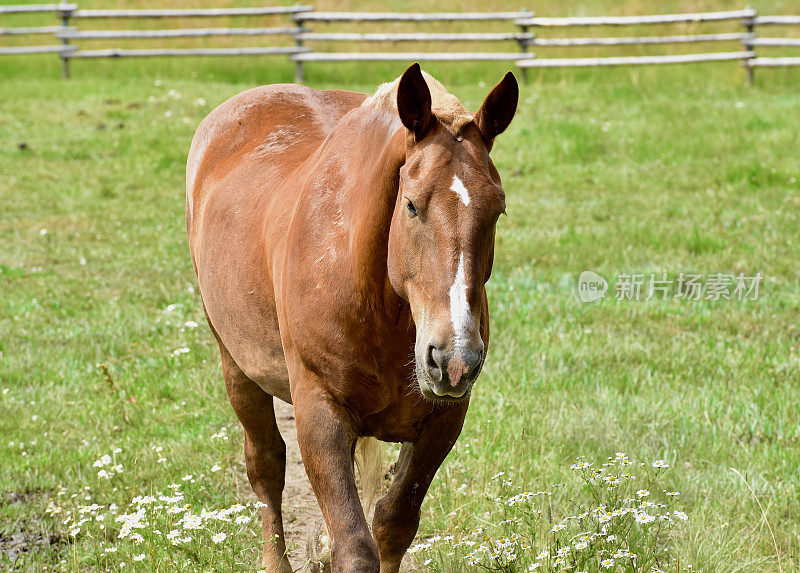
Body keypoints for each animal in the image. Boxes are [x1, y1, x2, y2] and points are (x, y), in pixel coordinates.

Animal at [189, 65, 520, 568]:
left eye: (497, 209)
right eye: (411, 204)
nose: (454, 360)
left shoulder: (443, 420)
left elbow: (392, 525)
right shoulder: (319, 413)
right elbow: (355, 546)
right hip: (236, 365)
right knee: (265, 466)